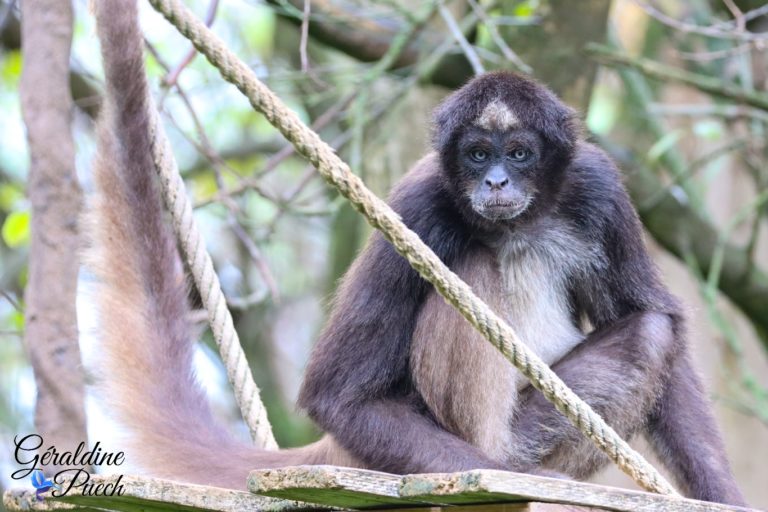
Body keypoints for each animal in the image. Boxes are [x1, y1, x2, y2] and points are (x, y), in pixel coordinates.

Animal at [88, 0, 744, 504]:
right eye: (478, 154)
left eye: (519, 153)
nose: (496, 181)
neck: (517, 225)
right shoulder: (420, 202)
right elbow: (337, 394)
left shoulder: (597, 188)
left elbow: (655, 320)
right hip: (482, 432)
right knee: (475, 267)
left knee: (650, 331)